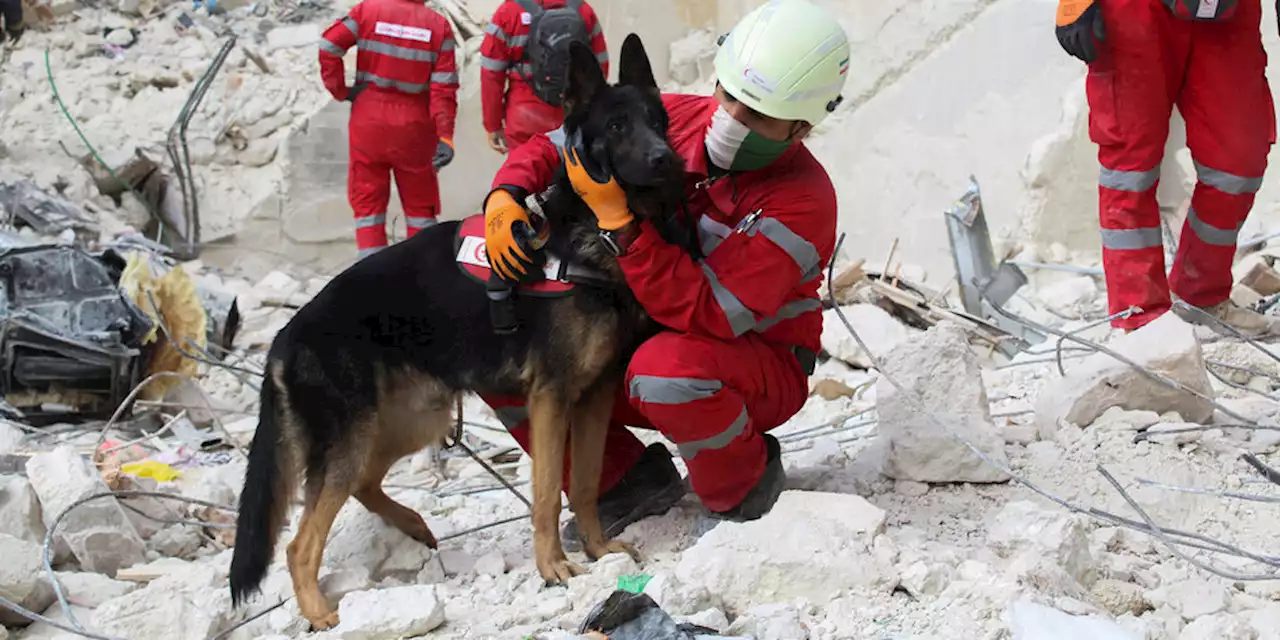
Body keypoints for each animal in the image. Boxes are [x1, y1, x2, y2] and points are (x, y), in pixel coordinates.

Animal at [230, 35, 691, 629]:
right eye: (615, 126)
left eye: (658, 121)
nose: (665, 158)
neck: (590, 234)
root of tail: (286, 336)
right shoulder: (552, 398)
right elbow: (548, 492)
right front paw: (553, 567)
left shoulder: (594, 396)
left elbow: (586, 483)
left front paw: (596, 550)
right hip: (357, 437)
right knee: (300, 541)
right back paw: (321, 612)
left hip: (412, 421)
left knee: (363, 485)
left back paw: (413, 525)